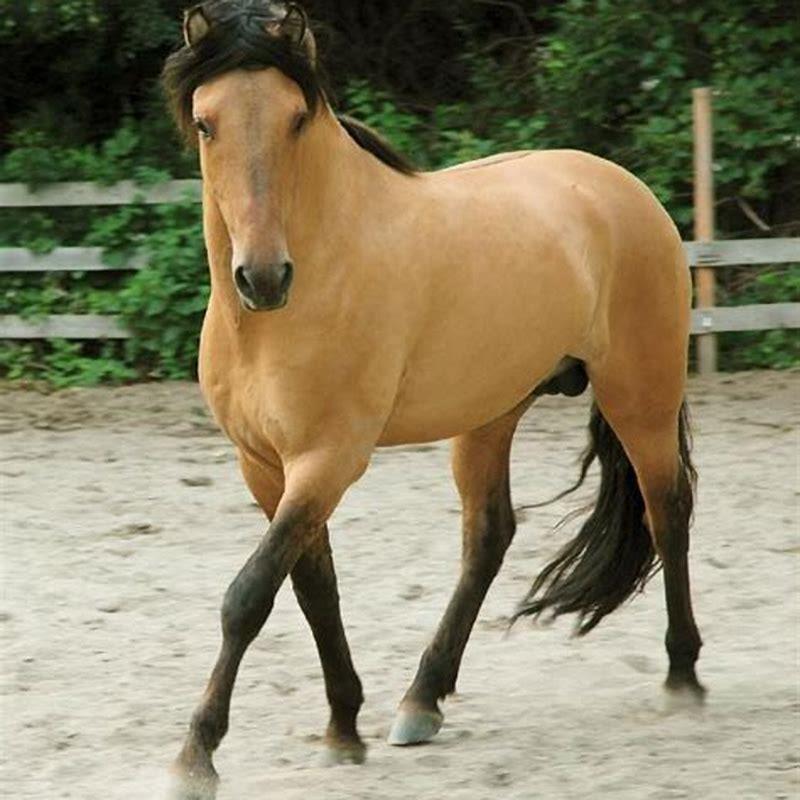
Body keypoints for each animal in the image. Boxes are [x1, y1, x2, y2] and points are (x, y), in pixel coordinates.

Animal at [162, 2, 704, 797]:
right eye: (206, 123)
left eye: (295, 118)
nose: (262, 277)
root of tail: (621, 188)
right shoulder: (265, 467)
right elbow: (312, 589)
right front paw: (343, 728)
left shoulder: (328, 460)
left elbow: (250, 595)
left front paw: (196, 753)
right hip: (489, 415)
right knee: (488, 538)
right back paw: (422, 699)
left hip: (641, 393)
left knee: (667, 512)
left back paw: (683, 676)